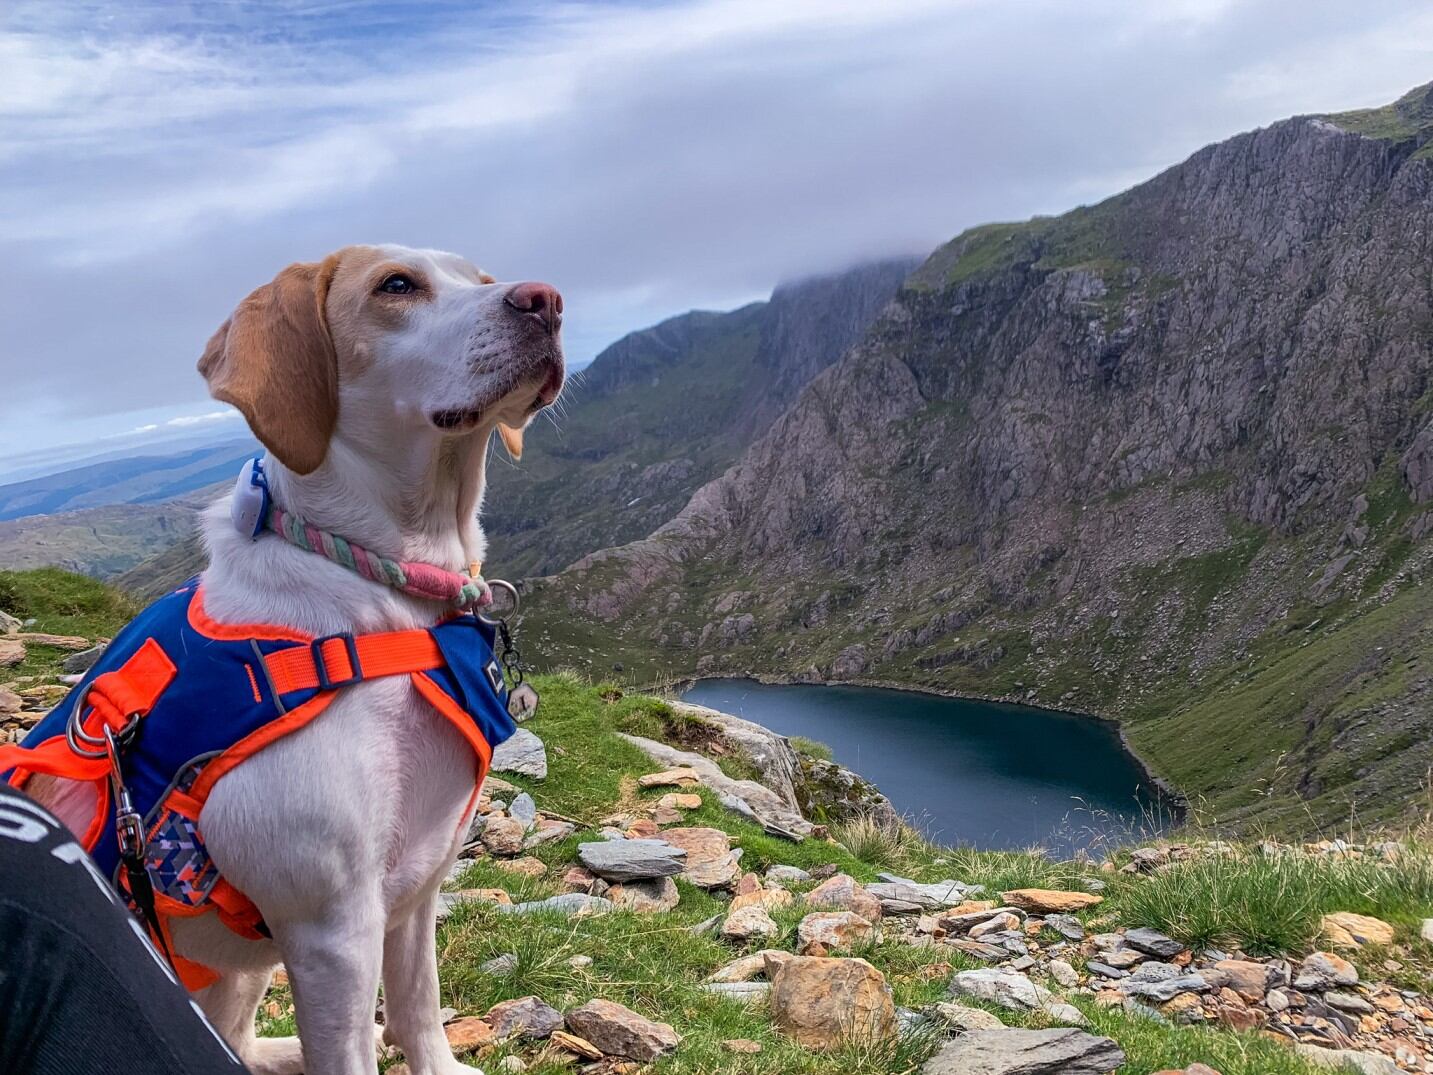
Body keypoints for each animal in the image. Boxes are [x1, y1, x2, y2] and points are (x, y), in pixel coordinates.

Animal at [44, 246, 561, 1075]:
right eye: (395, 285)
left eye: (480, 278)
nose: (545, 300)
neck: (393, 597)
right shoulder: (332, 928)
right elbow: (351, 1048)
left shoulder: (415, 888)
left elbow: (418, 1007)